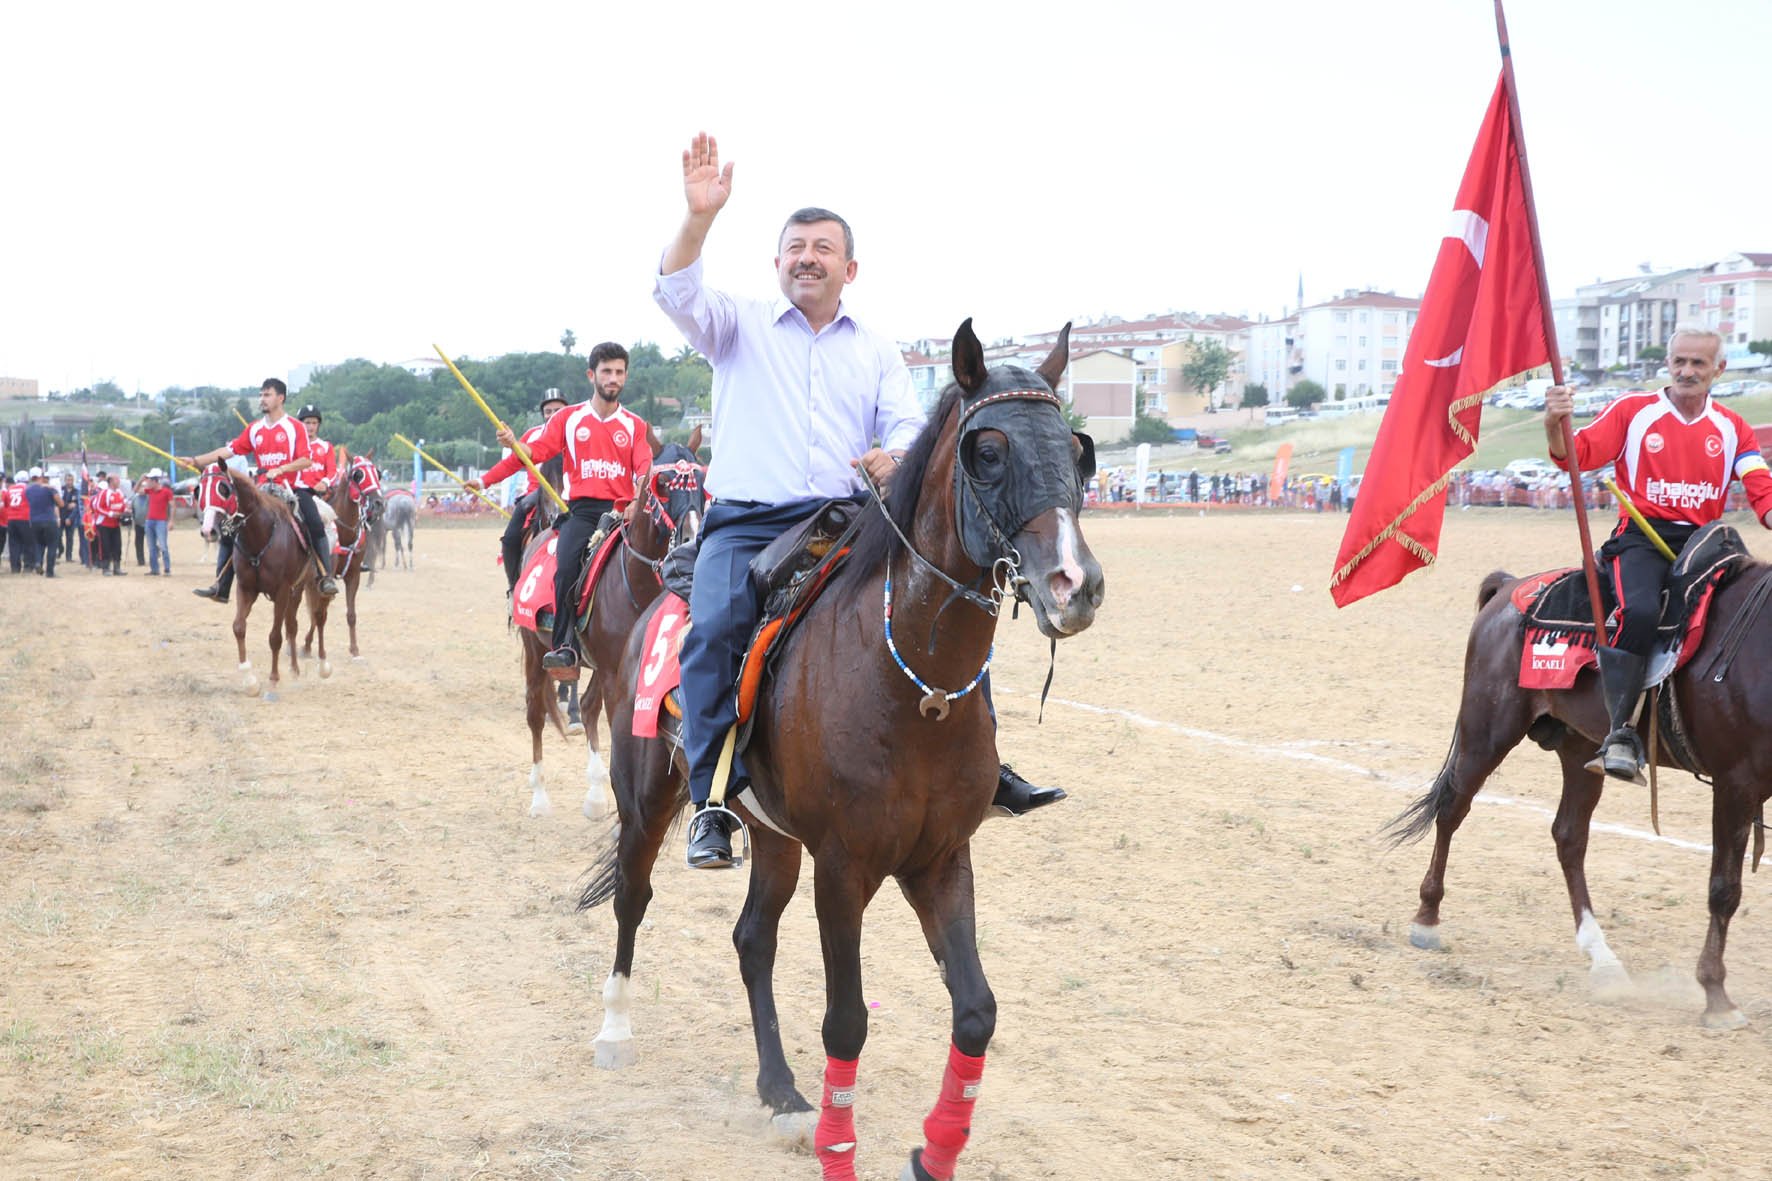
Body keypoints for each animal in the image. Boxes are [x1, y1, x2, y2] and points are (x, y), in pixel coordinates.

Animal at [221, 475, 318, 698]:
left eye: (223, 489)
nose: (210, 529)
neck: (260, 537)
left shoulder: (282, 591)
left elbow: (275, 637)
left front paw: (273, 679)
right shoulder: (246, 588)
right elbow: (239, 627)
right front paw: (249, 680)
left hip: (297, 589)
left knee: (291, 627)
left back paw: (294, 670)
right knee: (290, 626)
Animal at [513, 432, 705, 819]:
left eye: (701, 481)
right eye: (664, 484)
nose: (692, 538)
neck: (637, 578)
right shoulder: (615, 673)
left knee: (587, 709)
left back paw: (596, 795)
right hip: (536, 649)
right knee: (536, 713)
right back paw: (540, 797)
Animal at [584, 317, 1105, 1170]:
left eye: (1076, 447)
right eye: (988, 451)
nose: (1075, 583)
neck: (912, 688)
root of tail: (660, 591)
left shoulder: (939, 859)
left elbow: (975, 1009)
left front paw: (935, 1152)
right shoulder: (843, 865)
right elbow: (847, 1018)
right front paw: (841, 1148)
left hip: (772, 836)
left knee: (752, 938)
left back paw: (780, 1087)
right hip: (647, 798)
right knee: (633, 897)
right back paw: (615, 1030)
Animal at [1389, 556, 1772, 1028]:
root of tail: (1510, 586)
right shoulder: (1737, 781)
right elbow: (1724, 889)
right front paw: (1717, 997)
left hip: (1580, 748)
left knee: (1569, 836)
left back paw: (1602, 958)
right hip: (1487, 731)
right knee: (1452, 811)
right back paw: (1427, 919)